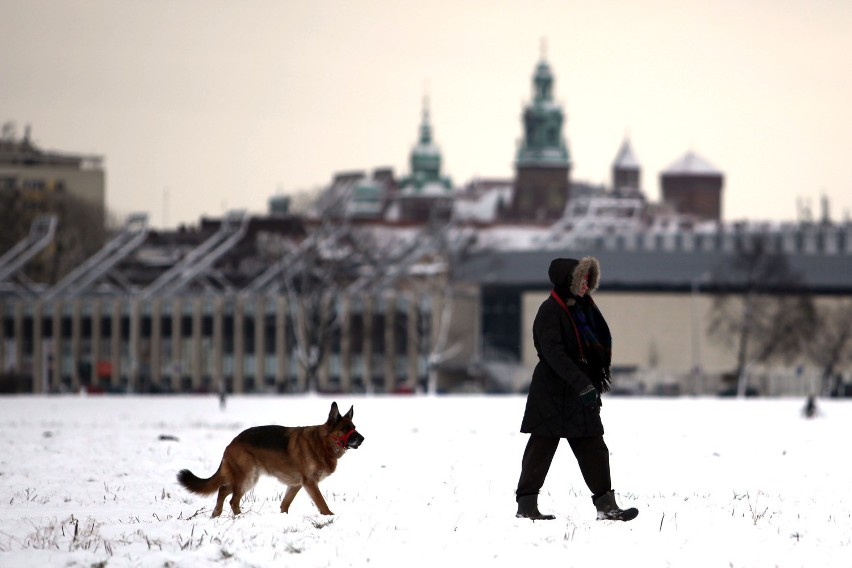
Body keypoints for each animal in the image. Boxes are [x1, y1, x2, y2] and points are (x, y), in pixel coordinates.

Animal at [178, 402, 364, 516]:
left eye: (354, 427)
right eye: (346, 428)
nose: (362, 439)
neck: (322, 442)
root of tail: (231, 443)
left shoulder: (296, 485)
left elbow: (285, 504)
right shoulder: (310, 483)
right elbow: (322, 504)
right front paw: (331, 517)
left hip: (248, 479)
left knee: (223, 490)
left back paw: (216, 515)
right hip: (247, 478)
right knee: (233, 499)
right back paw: (239, 518)